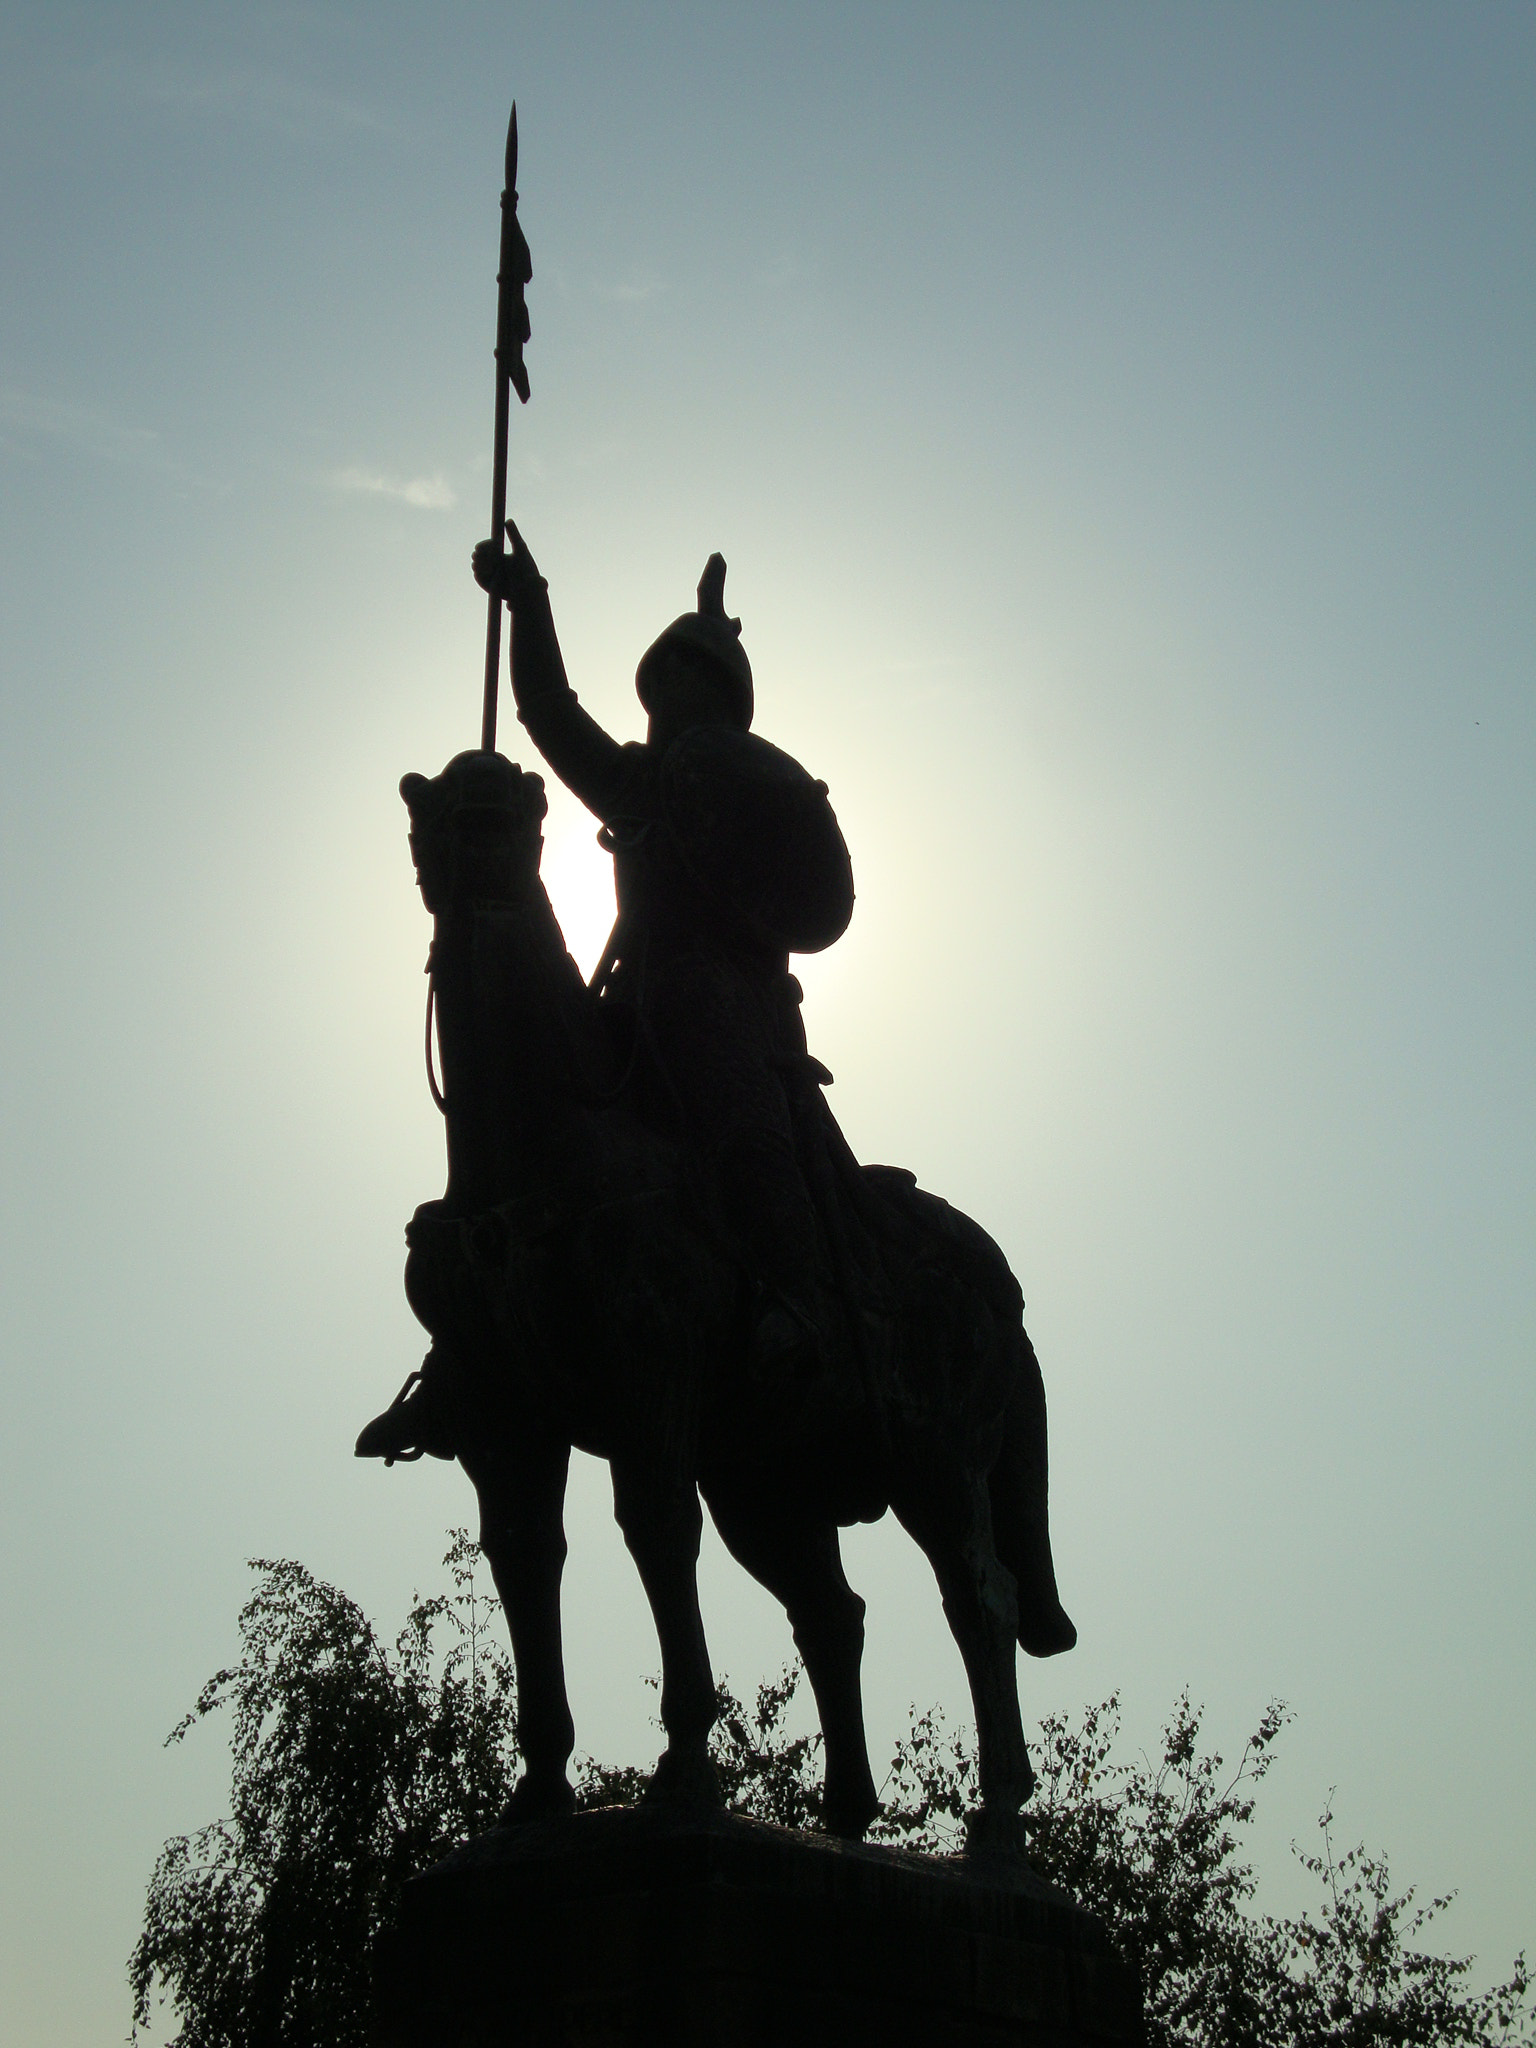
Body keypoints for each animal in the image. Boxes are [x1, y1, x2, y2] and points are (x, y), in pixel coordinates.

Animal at [366, 753, 1073, 1859]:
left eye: (516, 813)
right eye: (434, 815)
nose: (478, 832)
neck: (541, 1144)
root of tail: (999, 1290)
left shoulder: (652, 1381)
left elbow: (657, 1531)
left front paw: (685, 1767)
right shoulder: (501, 1421)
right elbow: (525, 1558)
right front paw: (539, 1786)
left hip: (938, 1465)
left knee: (981, 1598)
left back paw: (999, 1823)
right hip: (767, 1487)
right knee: (831, 1613)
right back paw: (847, 1815)